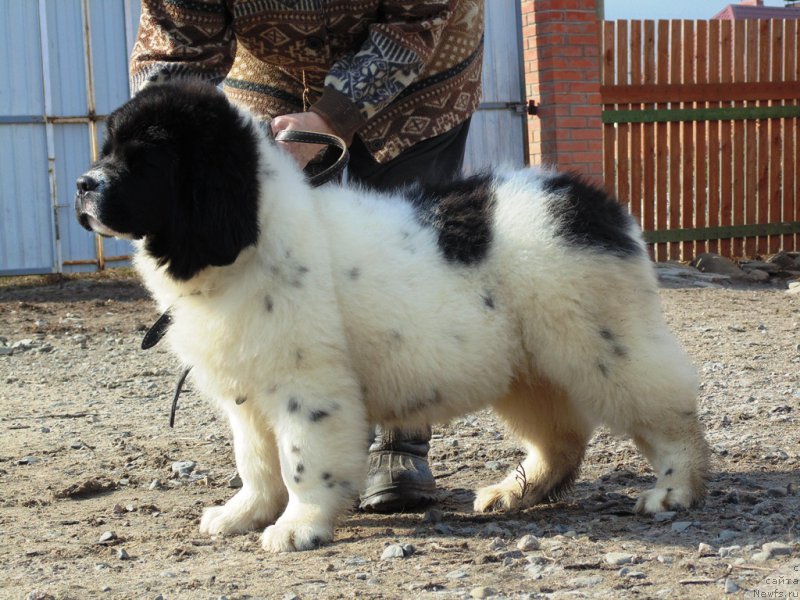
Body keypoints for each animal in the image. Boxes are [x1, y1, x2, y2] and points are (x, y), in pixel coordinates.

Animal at [78, 82, 708, 552]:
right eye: (108, 148)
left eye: (148, 155)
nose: (84, 185)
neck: (252, 230)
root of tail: (594, 203)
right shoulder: (247, 396)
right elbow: (255, 463)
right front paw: (242, 514)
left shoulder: (308, 387)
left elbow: (302, 462)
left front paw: (298, 527)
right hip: (528, 367)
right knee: (563, 438)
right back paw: (513, 492)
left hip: (606, 345)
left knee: (670, 412)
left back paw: (674, 490)